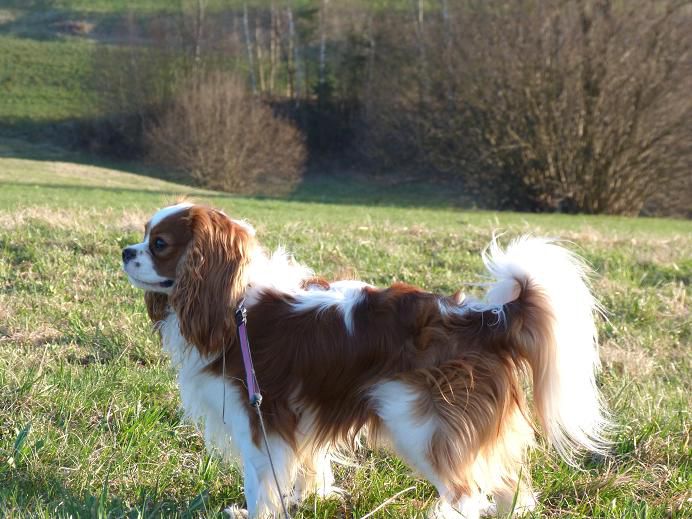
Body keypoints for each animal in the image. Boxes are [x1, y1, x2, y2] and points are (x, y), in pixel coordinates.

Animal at [121, 202, 608, 516]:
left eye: (159, 243)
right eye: (144, 235)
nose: (125, 251)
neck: (235, 301)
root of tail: (483, 318)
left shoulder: (261, 417)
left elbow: (260, 483)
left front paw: (256, 511)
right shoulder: (302, 415)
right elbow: (306, 466)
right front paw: (307, 497)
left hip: (417, 424)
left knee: (467, 495)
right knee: (510, 486)